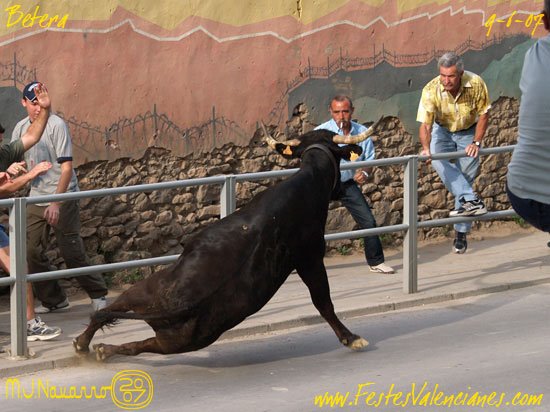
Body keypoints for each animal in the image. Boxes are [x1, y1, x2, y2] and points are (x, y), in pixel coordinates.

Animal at [73, 130, 374, 360]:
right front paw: (351, 338)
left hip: (156, 311)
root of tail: (176, 303)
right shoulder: (310, 258)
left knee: (117, 323)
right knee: (122, 328)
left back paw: (93, 346)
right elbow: (323, 302)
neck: (306, 182)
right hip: (182, 334)